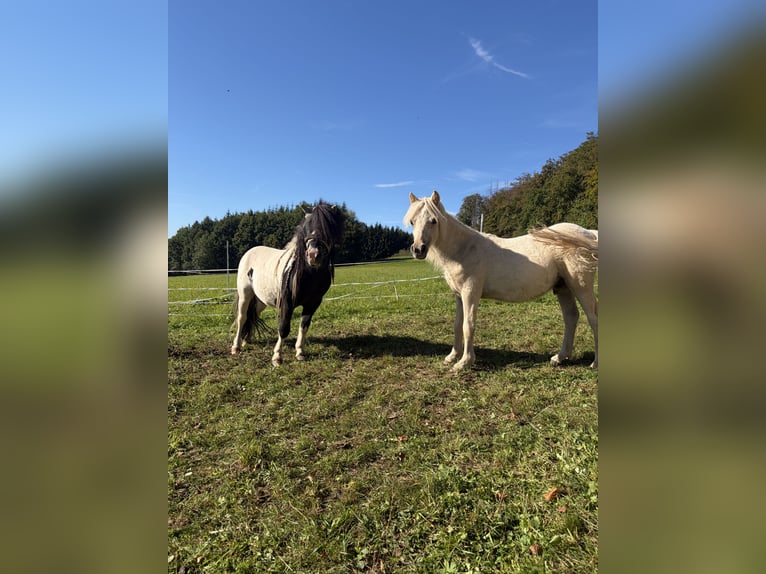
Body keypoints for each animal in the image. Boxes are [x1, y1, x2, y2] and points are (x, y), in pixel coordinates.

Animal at [230, 202, 344, 366]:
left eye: (328, 227)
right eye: (307, 226)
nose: (313, 255)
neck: (310, 274)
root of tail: (249, 252)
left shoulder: (313, 303)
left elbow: (304, 326)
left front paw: (300, 352)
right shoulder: (287, 302)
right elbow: (284, 328)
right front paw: (277, 357)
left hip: (261, 300)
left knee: (253, 315)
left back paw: (247, 340)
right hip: (245, 294)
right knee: (242, 317)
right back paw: (236, 346)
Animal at [404, 191, 598, 372]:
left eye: (433, 221)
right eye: (412, 221)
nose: (418, 249)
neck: (464, 249)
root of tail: (589, 233)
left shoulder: (470, 293)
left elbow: (468, 325)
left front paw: (464, 362)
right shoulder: (459, 296)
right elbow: (457, 325)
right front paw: (452, 356)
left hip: (581, 287)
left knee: (593, 318)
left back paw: (595, 363)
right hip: (563, 288)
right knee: (571, 317)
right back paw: (559, 357)